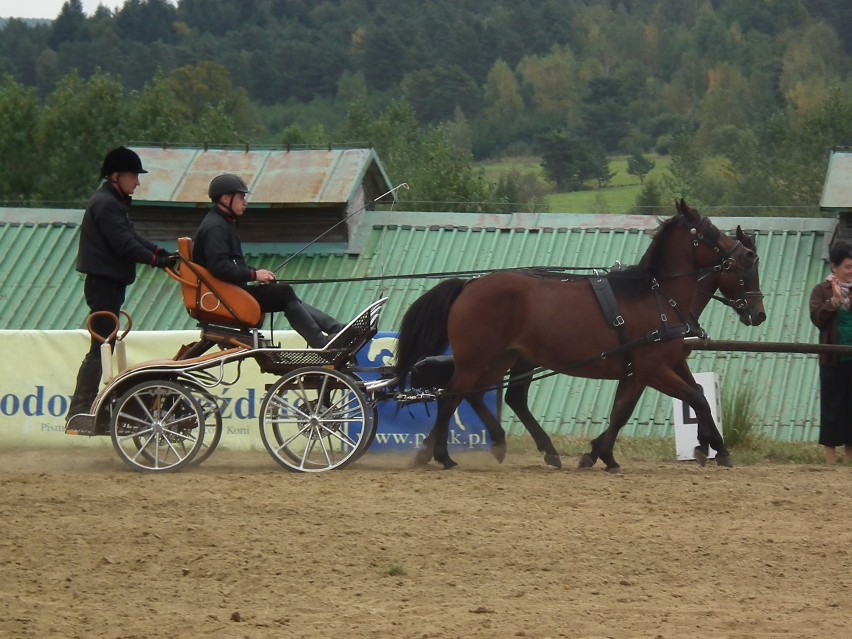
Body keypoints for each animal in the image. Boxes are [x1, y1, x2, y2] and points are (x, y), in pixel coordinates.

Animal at [392, 200, 764, 470]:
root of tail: (470, 285)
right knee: (451, 397)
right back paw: (440, 455)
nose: (758, 314)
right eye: (712, 233)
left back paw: (518, 447)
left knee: (485, 395)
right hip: (479, 357)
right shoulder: (652, 368)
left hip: (507, 357)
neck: (658, 296)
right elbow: (680, 402)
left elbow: (673, 400)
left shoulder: (661, 365)